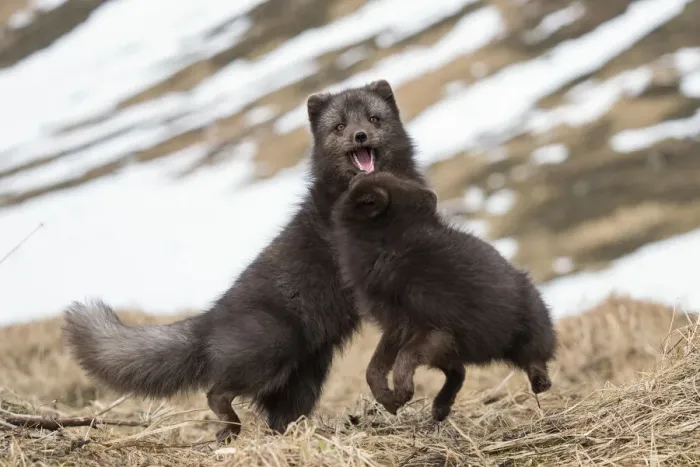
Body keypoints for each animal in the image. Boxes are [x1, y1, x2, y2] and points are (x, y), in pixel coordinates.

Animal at [62, 80, 428, 443]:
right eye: (339, 126)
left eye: (373, 118)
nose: (360, 136)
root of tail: (210, 320)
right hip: (272, 348)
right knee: (216, 392)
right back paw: (231, 428)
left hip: (306, 376)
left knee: (275, 416)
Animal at [331, 172, 557, 421]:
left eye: (366, 196)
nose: (360, 173)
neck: (393, 242)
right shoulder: (397, 327)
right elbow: (373, 368)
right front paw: (389, 398)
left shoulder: (434, 329)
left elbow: (403, 359)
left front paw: (401, 391)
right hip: (449, 351)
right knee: (459, 372)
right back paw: (440, 408)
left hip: (524, 333)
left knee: (535, 363)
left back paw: (538, 381)